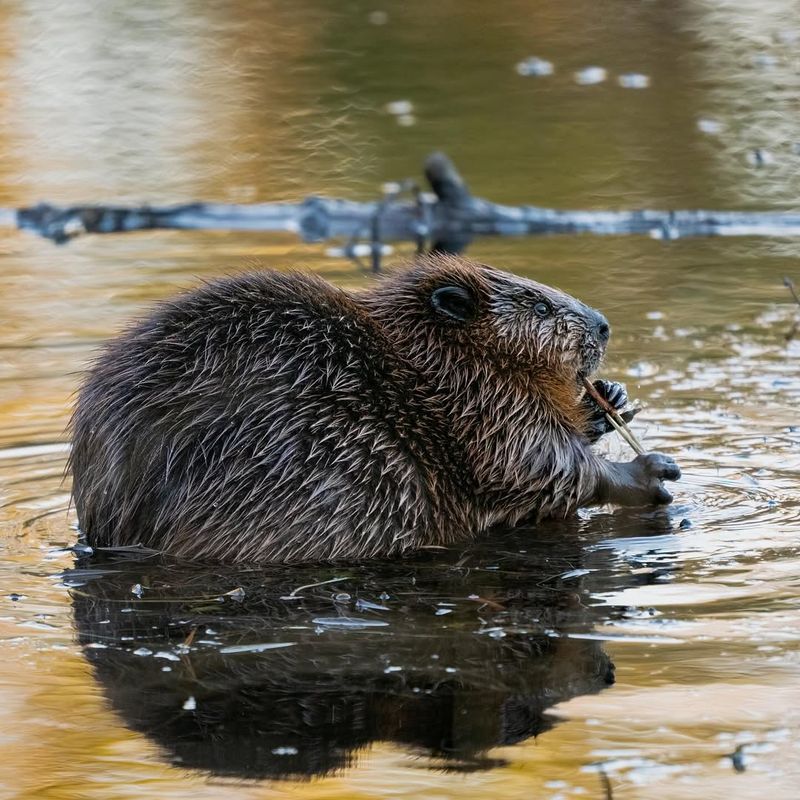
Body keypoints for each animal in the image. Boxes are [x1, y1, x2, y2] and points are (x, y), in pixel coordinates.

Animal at [70, 256, 680, 564]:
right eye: (539, 306)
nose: (603, 325)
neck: (425, 360)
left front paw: (609, 399)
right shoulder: (479, 405)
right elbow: (534, 465)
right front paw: (650, 471)